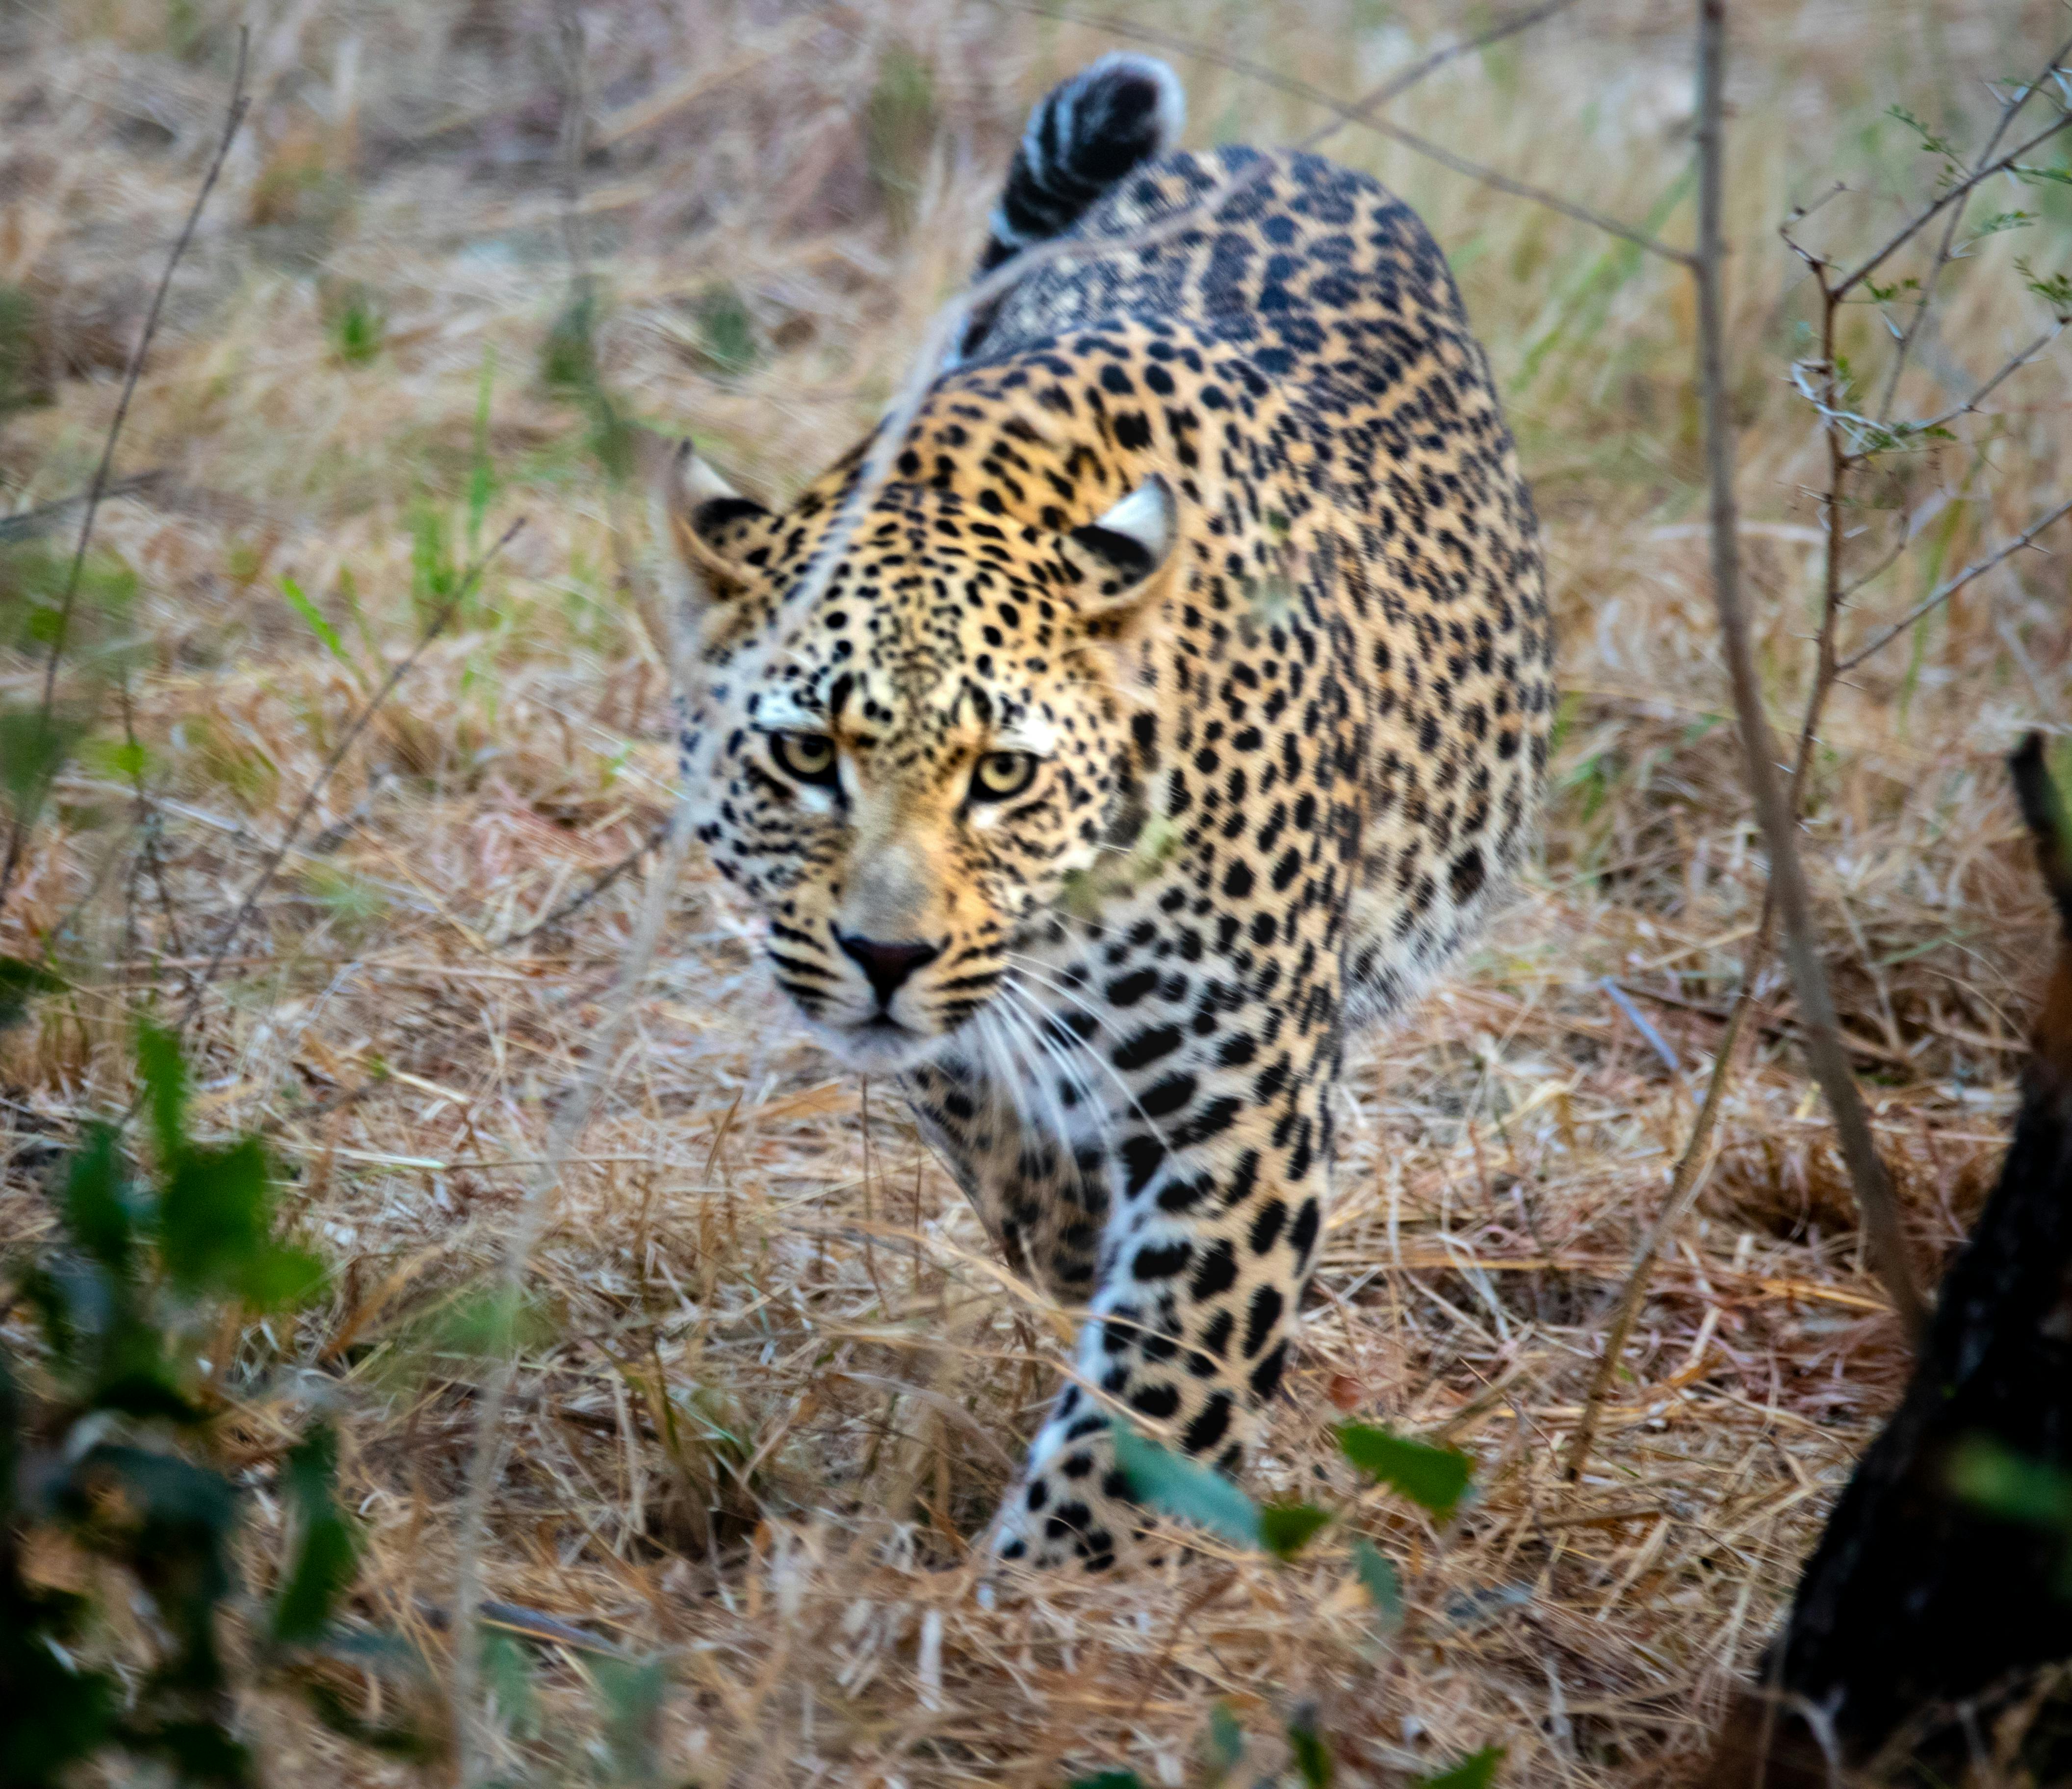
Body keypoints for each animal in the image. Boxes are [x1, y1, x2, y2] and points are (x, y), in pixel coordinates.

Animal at [650, 51, 1553, 1571]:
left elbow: (1155, 1401)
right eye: (807, 755)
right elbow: (1007, 1143)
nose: (883, 958)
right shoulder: (966, 1035)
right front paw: (1064, 1236)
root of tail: (1268, 152)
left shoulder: (1245, 1106)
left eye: (1001, 773)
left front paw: (1048, 1599)